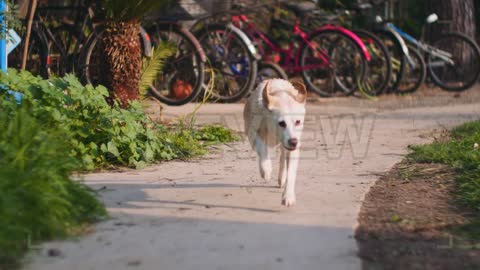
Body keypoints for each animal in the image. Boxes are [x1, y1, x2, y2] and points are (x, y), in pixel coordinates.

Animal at [244, 78, 308, 207]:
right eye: (282, 123)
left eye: (298, 122)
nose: (293, 142)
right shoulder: (252, 132)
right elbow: (262, 148)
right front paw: (266, 169)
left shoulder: (293, 149)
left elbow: (291, 172)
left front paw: (288, 196)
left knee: (283, 157)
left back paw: (281, 177)